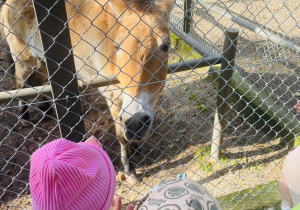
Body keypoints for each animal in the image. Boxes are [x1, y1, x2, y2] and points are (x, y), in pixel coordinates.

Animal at [1, 0, 173, 184]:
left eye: (166, 46)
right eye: (117, 46)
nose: (136, 123)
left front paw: (136, 149)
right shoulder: (113, 97)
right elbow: (121, 136)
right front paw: (130, 171)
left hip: (43, 61)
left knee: (38, 83)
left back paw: (46, 109)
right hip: (24, 60)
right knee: (21, 84)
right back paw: (24, 117)